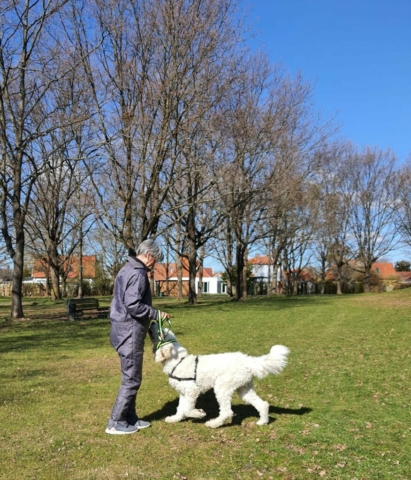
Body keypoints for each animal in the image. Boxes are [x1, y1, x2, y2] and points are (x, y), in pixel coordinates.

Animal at [154, 330, 290, 428]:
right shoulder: (183, 393)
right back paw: (263, 421)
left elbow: (187, 409)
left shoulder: (192, 391)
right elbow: (180, 408)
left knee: (227, 412)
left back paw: (213, 423)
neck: (178, 362)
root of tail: (248, 361)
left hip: (222, 387)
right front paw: (175, 419)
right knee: (263, 404)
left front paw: (199, 414)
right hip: (244, 389)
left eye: (161, 335)